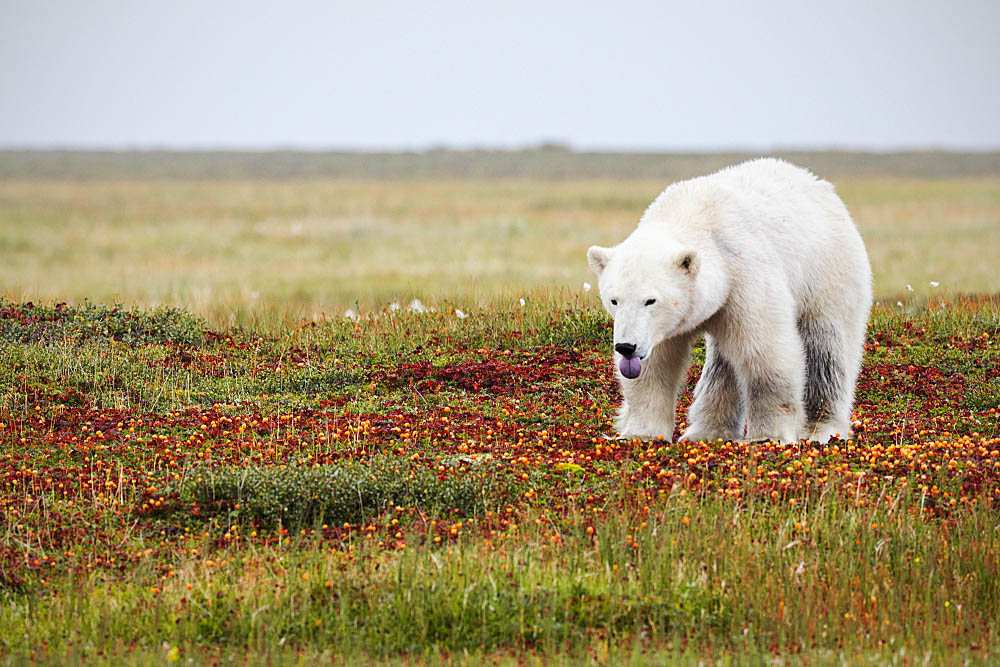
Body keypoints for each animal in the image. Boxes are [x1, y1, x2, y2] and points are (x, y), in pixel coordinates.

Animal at [588, 159, 872, 446]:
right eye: (614, 300)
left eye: (650, 300)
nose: (626, 347)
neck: (694, 215)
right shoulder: (662, 326)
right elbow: (654, 365)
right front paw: (640, 434)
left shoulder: (744, 274)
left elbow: (765, 352)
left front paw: (768, 437)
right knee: (723, 363)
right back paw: (708, 431)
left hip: (829, 272)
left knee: (825, 349)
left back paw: (821, 429)